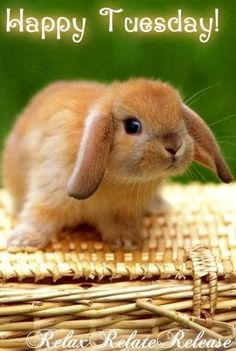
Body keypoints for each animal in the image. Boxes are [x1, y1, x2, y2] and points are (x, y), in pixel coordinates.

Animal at [3, 80, 232, 250]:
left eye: (181, 120)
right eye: (132, 126)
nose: (174, 147)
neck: (116, 178)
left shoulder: (120, 211)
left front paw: (127, 242)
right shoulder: (49, 193)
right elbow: (39, 216)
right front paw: (21, 241)